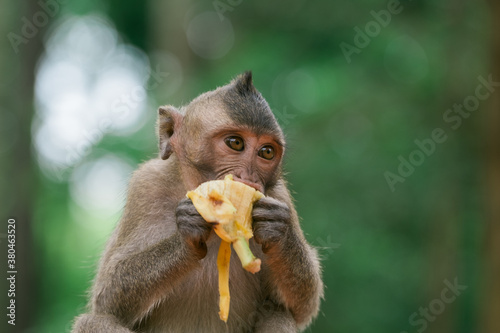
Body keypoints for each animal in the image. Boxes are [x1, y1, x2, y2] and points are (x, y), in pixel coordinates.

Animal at [73, 71, 324, 330]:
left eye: (266, 152)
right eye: (236, 143)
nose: (250, 179)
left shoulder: (279, 195)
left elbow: (301, 306)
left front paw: (278, 230)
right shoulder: (145, 185)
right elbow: (108, 295)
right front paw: (188, 232)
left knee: (278, 313)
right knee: (94, 320)